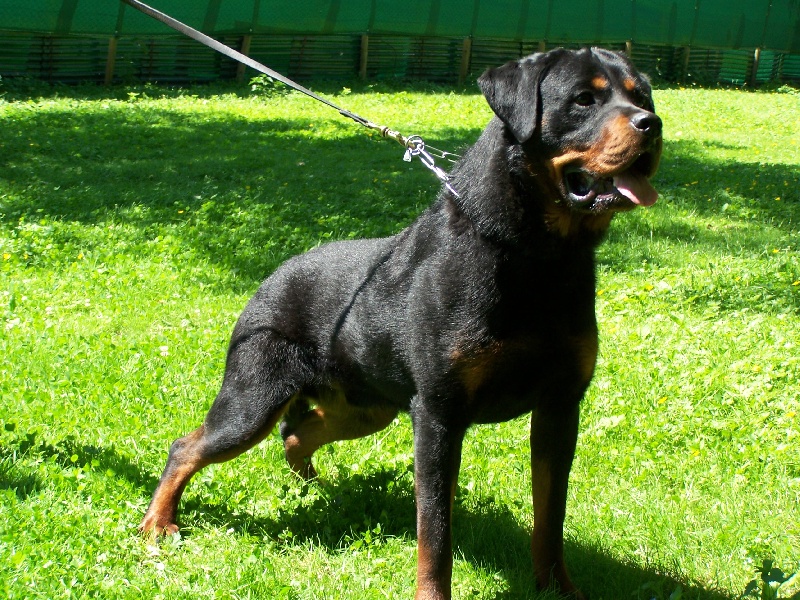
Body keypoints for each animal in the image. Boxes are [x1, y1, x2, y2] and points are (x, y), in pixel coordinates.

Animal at [140, 47, 662, 599]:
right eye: (584, 99)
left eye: (643, 97)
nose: (652, 125)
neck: (537, 257)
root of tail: (273, 276)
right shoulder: (438, 414)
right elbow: (434, 532)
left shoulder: (559, 406)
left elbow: (550, 517)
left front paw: (558, 589)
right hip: (253, 399)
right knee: (188, 447)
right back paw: (159, 524)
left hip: (368, 408)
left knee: (299, 432)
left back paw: (314, 484)